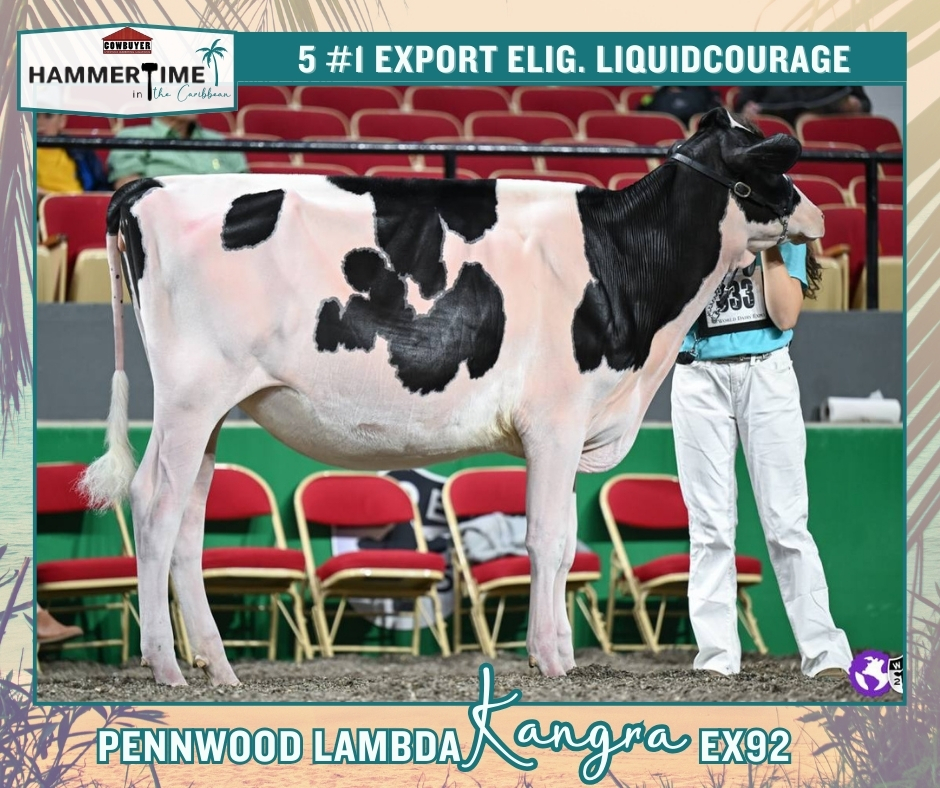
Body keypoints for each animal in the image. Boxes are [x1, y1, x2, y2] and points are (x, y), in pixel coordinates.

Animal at [80, 108, 824, 686]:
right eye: (769, 165)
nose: (817, 216)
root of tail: (148, 187)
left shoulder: (571, 426)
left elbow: (565, 542)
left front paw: (560, 655)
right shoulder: (555, 419)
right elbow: (546, 539)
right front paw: (550, 659)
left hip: (210, 408)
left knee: (187, 519)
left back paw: (219, 667)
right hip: (190, 396)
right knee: (154, 504)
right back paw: (165, 666)